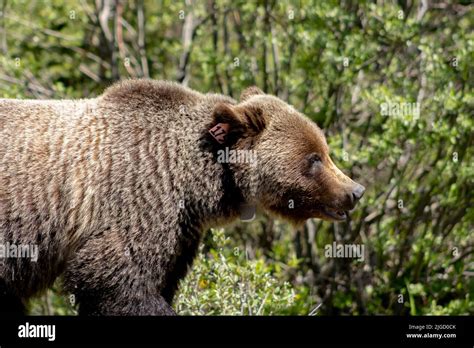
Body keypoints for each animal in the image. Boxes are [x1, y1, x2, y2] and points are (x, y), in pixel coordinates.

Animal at [0, 81, 364, 316]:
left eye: (324, 150)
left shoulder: (180, 232)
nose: (355, 191)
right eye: (314, 158)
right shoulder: (135, 199)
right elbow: (115, 280)